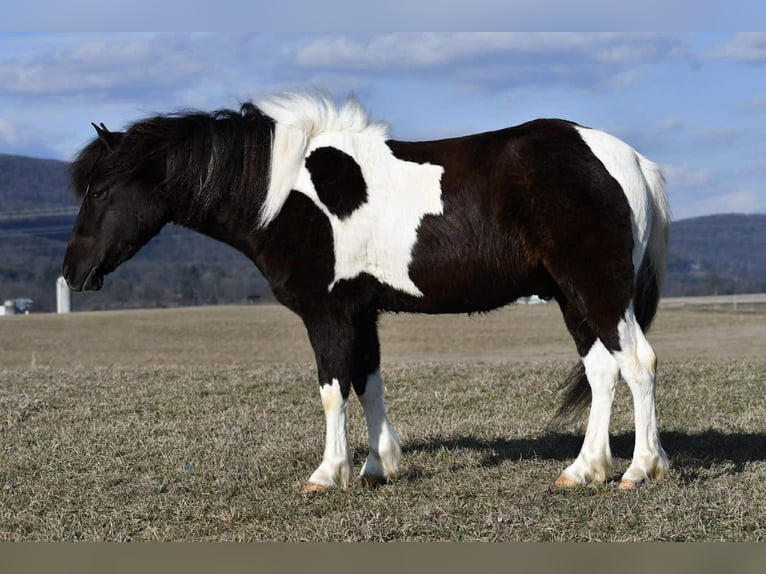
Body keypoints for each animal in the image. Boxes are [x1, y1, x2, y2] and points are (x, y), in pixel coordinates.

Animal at [63, 93, 671, 491]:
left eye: (101, 190)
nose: (73, 272)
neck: (286, 193)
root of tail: (630, 160)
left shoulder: (327, 312)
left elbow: (333, 389)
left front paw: (327, 474)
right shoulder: (361, 312)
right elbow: (367, 383)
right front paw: (379, 466)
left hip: (597, 290)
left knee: (638, 363)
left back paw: (640, 469)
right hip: (572, 297)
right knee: (602, 370)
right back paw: (583, 470)